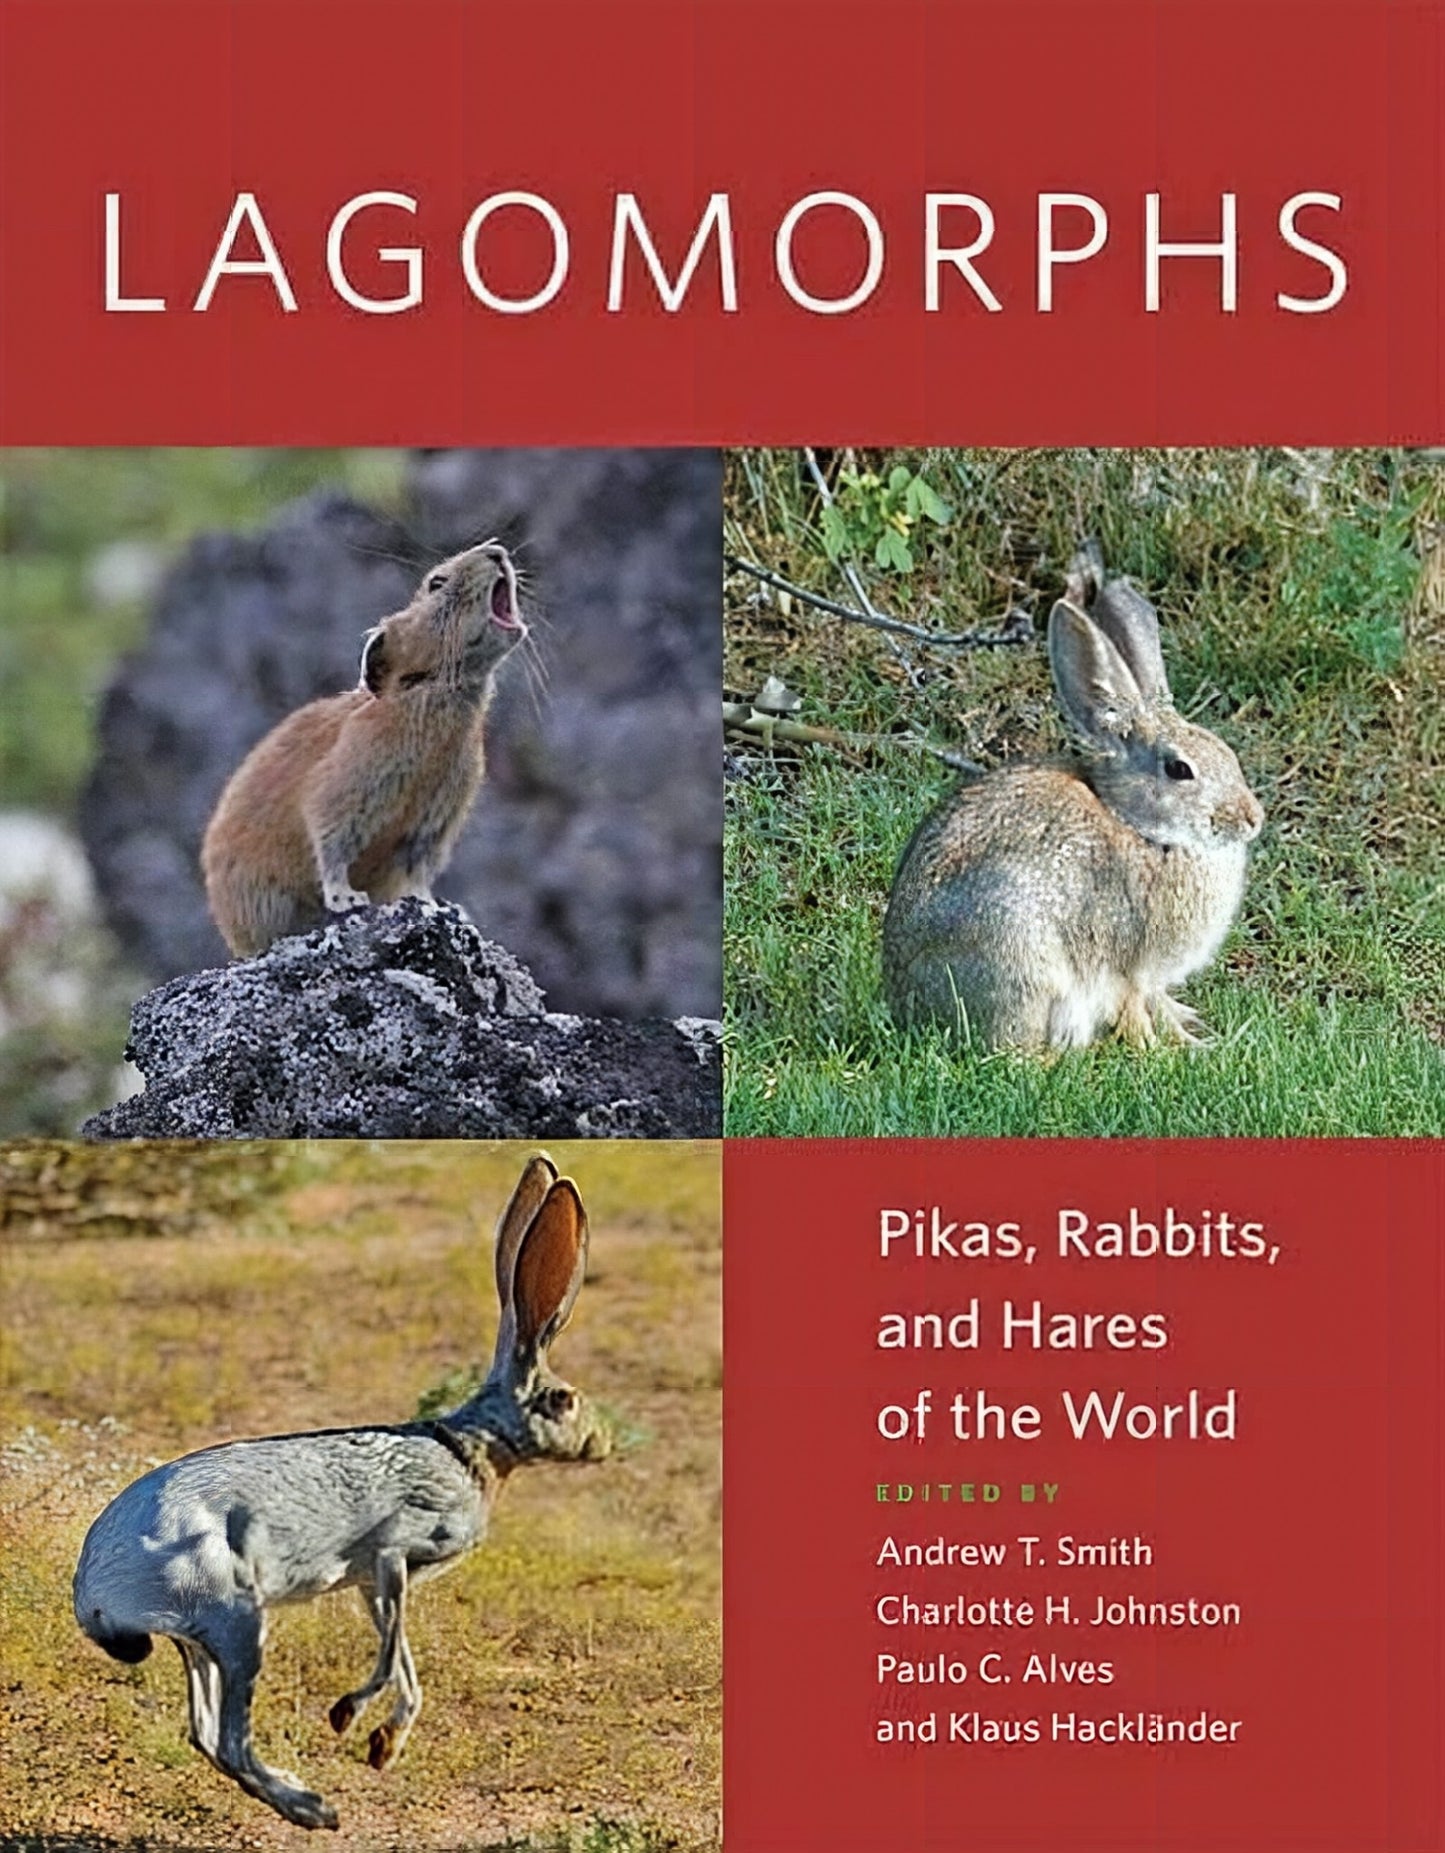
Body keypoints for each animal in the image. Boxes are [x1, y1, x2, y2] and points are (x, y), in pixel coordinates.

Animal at [72, 1153, 611, 1831]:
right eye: (562, 1401)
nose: (603, 1445)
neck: (471, 1446)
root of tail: (93, 1593)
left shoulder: (375, 1580)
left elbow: (402, 1657)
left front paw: (384, 1746)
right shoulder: (396, 1550)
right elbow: (391, 1652)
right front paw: (348, 1718)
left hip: (200, 1640)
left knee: (204, 1733)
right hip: (235, 1618)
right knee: (229, 1739)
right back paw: (314, 1810)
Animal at [882, 544, 1263, 1051]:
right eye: (1179, 770)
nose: (1252, 818)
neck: (1142, 829)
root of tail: (905, 1003)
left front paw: (1190, 1029)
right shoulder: (1129, 967)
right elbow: (1135, 1008)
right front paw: (1172, 1048)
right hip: (1021, 959)